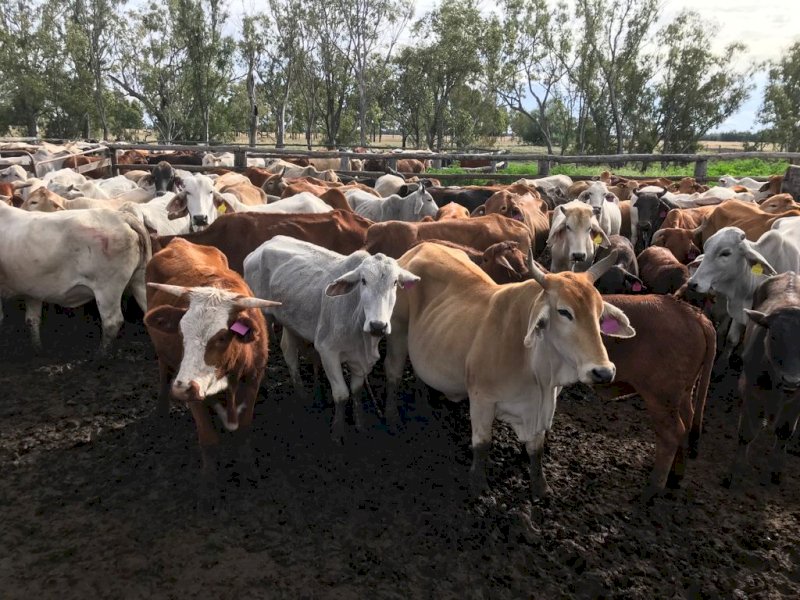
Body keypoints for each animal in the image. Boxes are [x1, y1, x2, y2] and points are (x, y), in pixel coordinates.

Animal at [0, 203, 150, 351]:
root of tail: (121, 217)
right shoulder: (32, 290)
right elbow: (32, 319)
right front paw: (37, 350)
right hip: (139, 281)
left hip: (107, 289)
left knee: (112, 322)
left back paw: (101, 354)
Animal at [144, 238, 279, 504]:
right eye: (181, 332)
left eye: (223, 336)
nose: (183, 388)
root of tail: (178, 240)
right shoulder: (193, 392)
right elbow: (208, 439)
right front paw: (208, 486)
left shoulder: (253, 380)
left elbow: (244, 429)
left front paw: (249, 469)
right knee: (164, 372)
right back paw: (162, 408)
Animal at [383, 243, 634, 501]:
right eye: (564, 312)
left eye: (599, 313)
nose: (603, 372)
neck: (538, 373)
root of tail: (420, 247)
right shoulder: (482, 399)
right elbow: (482, 443)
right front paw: (478, 485)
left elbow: (536, 449)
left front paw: (540, 487)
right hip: (398, 333)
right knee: (393, 373)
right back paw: (391, 418)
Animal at [722, 272, 800, 489]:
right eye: (773, 336)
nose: (792, 381)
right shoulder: (751, 390)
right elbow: (747, 431)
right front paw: (736, 470)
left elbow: (784, 431)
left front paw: (776, 469)